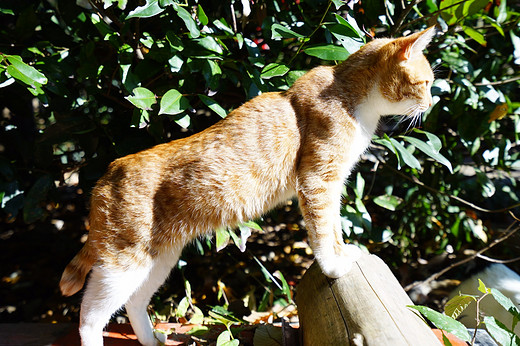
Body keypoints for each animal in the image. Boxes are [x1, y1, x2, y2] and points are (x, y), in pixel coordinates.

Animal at [60, 26, 434, 344]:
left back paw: (152, 340)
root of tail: (109, 170)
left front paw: (346, 251)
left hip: (159, 259)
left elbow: (335, 227)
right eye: (427, 82)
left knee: (135, 303)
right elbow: (323, 231)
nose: (431, 105)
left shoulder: (334, 182)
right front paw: (334, 266)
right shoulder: (318, 181)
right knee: (90, 313)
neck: (348, 93)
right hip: (124, 261)